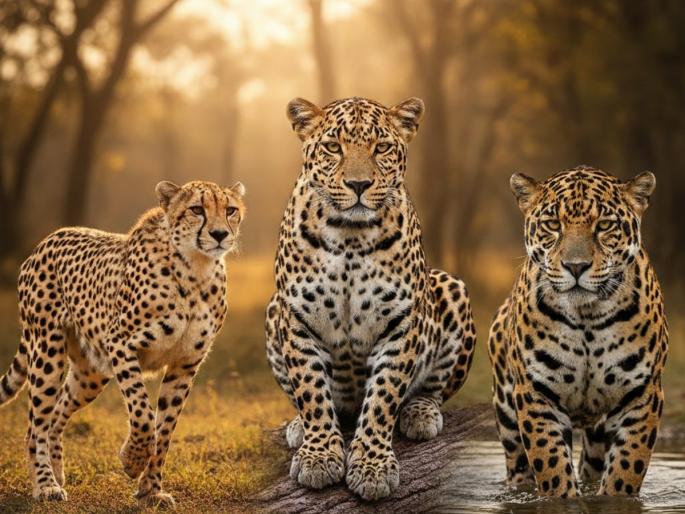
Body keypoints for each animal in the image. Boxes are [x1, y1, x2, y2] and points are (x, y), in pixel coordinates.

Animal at [0, 179, 246, 507]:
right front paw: (131, 460)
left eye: (230, 210)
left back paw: (57, 474)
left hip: (90, 374)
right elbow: (143, 413)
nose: (220, 234)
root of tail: (48, 239)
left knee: (55, 415)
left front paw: (151, 490)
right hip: (47, 352)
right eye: (196, 209)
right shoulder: (121, 344)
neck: (196, 270)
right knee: (35, 425)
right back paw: (45, 485)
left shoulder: (184, 365)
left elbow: (164, 430)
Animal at [265, 96, 476, 501]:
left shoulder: (401, 322)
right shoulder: (296, 319)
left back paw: (421, 414)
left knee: (434, 388)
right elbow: (312, 391)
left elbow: (383, 397)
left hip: (451, 288)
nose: (359, 184)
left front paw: (372, 466)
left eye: (382, 148)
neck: (350, 235)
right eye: (334, 147)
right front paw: (319, 455)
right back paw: (298, 426)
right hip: (272, 313)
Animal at [487, 165, 668, 498]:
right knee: (519, 466)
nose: (575, 266)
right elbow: (552, 468)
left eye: (605, 225)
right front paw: (562, 499)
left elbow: (625, 470)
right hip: (507, 416)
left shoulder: (642, 396)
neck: (587, 319)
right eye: (553, 225)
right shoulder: (536, 395)